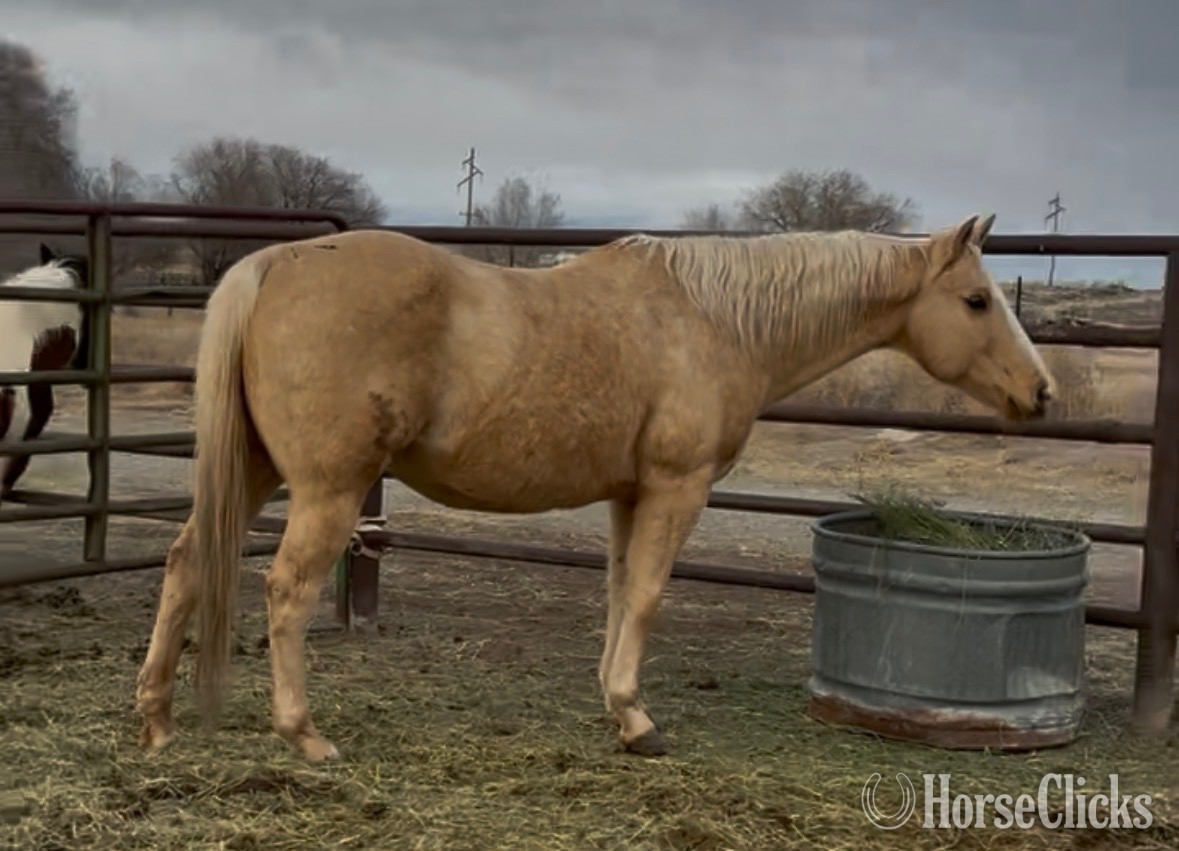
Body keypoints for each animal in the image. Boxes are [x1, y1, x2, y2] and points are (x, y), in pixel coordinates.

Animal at [134, 213, 1055, 761]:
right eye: (976, 300)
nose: (1041, 393)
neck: (713, 320)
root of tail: (275, 262)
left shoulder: (626, 492)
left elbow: (617, 593)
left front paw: (616, 704)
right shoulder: (677, 487)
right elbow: (646, 595)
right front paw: (637, 719)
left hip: (254, 472)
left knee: (185, 564)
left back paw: (158, 717)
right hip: (327, 490)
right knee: (285, 591)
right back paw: (305, 735)